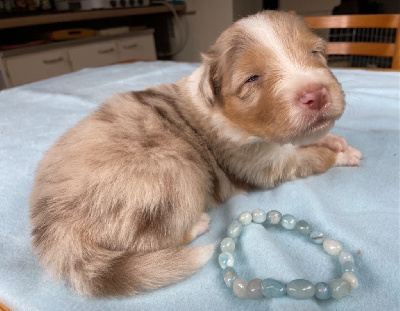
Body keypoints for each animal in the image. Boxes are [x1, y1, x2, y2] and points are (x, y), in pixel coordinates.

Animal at [30, 10, 362, 298]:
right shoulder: (263, 164)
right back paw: (199, 223)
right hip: (176, 170)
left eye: (316, 53)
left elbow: (305, 141)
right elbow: (310, 158)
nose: (316, 94)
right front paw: (340, 155)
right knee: (155, 238)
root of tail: (54, 222)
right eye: (253, 79)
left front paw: (337, 141)